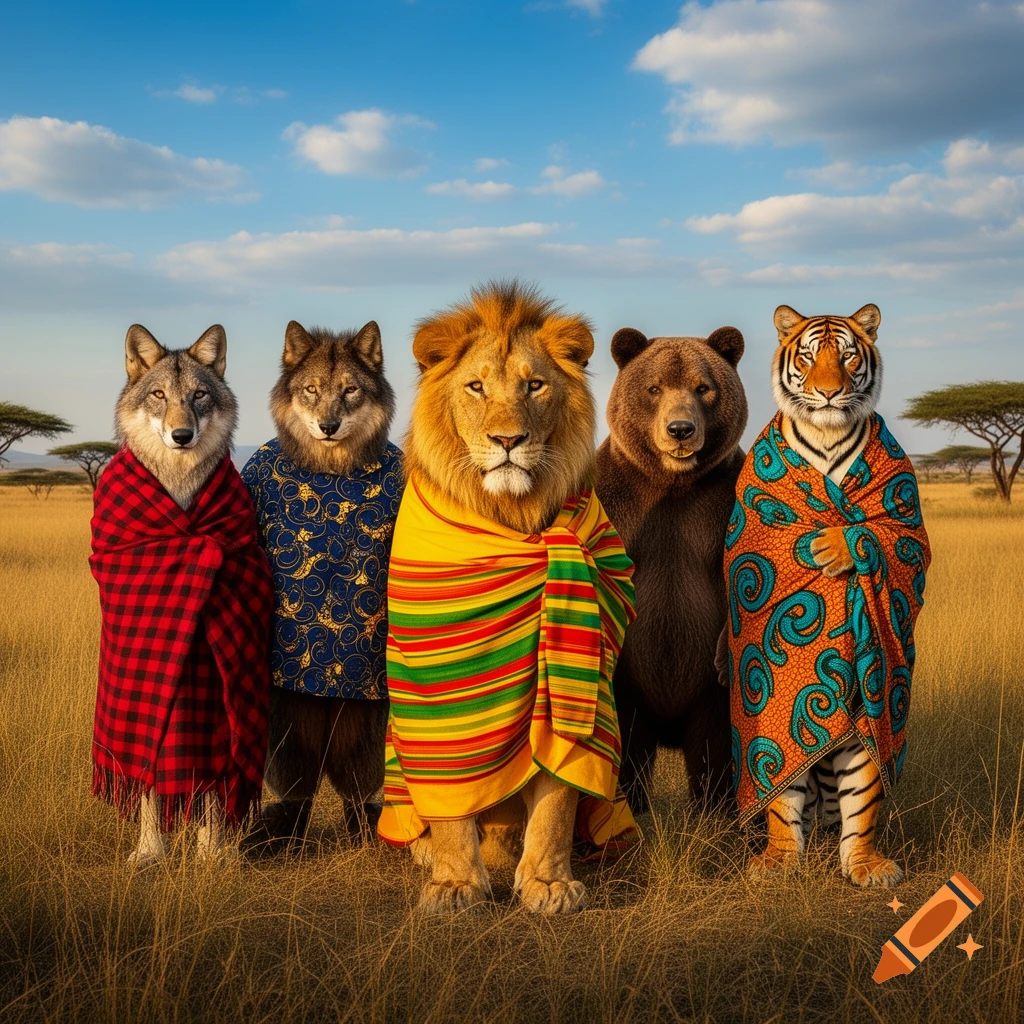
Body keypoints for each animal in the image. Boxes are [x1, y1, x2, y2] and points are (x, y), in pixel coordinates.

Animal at [377, 280, 639, 914]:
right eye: (476, 387)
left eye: (534, 385)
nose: (508, 441)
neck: (510, 515)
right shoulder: (436, 691)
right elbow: (452, 800)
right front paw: (453, 884)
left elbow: (557, 797)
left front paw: (547, 883)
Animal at [594, 325, 748, 813]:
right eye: (654, 387)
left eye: (703, 388)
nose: (680, 429)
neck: (672, 484)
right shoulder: (618, 504)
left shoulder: (720, 507)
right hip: (631, 688)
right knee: (627, 743)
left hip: (706, 698)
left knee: (714, 749)